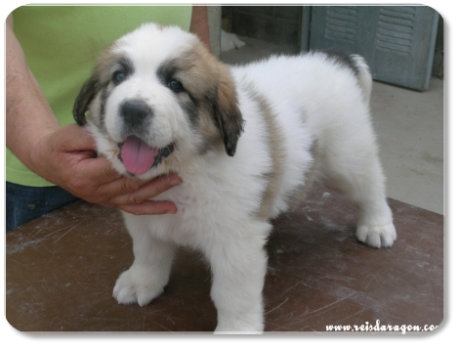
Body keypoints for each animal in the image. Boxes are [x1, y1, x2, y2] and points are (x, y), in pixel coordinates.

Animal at [73, 23, 398, 334]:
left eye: (175, 85)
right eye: (118, 77)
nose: (132, 109)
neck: (187, 168)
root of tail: (331, 58)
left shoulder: (236, 240)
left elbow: (232, 292)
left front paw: (236, 329)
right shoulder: (143, 215)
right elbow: (147, 252)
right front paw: (142, 281)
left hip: (347, 154)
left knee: (370, 184)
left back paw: (377, 225)